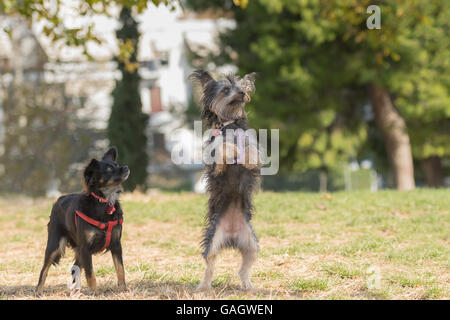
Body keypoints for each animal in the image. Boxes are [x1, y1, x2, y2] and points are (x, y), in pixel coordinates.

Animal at [36, 146, 129, 294]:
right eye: (109, 168)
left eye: (116, 164)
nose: (126, 167)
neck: (104, 201)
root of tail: (59, 199)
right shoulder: (86, 248)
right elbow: (90, 273)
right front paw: (94, 292)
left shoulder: (116, 245)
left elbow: (120, 269)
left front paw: (123, 289)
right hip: (54, 245)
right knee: (44, 269)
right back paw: (39, 290)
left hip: (78, 250)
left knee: (74, 268)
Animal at [189, 69, 260, 292]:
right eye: (226, 89)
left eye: (241, 87)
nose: (242, 93)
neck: (231, 125)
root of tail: (231, 235)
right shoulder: (215, 163)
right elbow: (222, 147)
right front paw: (233, 150)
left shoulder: (253, 147)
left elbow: (252, 150)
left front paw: (245, 155)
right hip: (213, 241)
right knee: (209, 266)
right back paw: (203, 287)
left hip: (251, 245)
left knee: (244, 269)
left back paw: (249, 286)